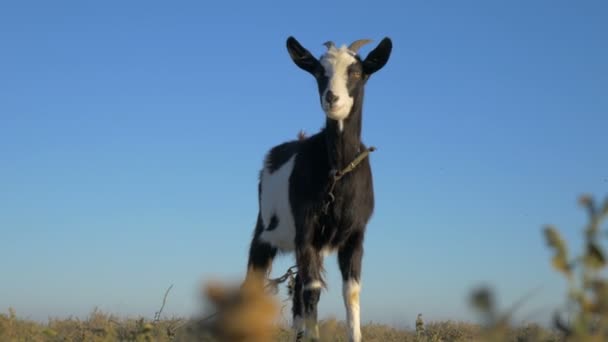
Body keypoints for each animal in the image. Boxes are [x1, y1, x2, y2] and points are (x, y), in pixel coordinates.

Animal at [245, 36, 392, 340]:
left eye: (356, 72)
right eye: (319, 72)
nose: (332, 99)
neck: (337, 173)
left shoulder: (355, 235)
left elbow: (351, 293)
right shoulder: (306, 231)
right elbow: (312, 291)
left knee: (298, 294)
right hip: (263, 235)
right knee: (254, 284)